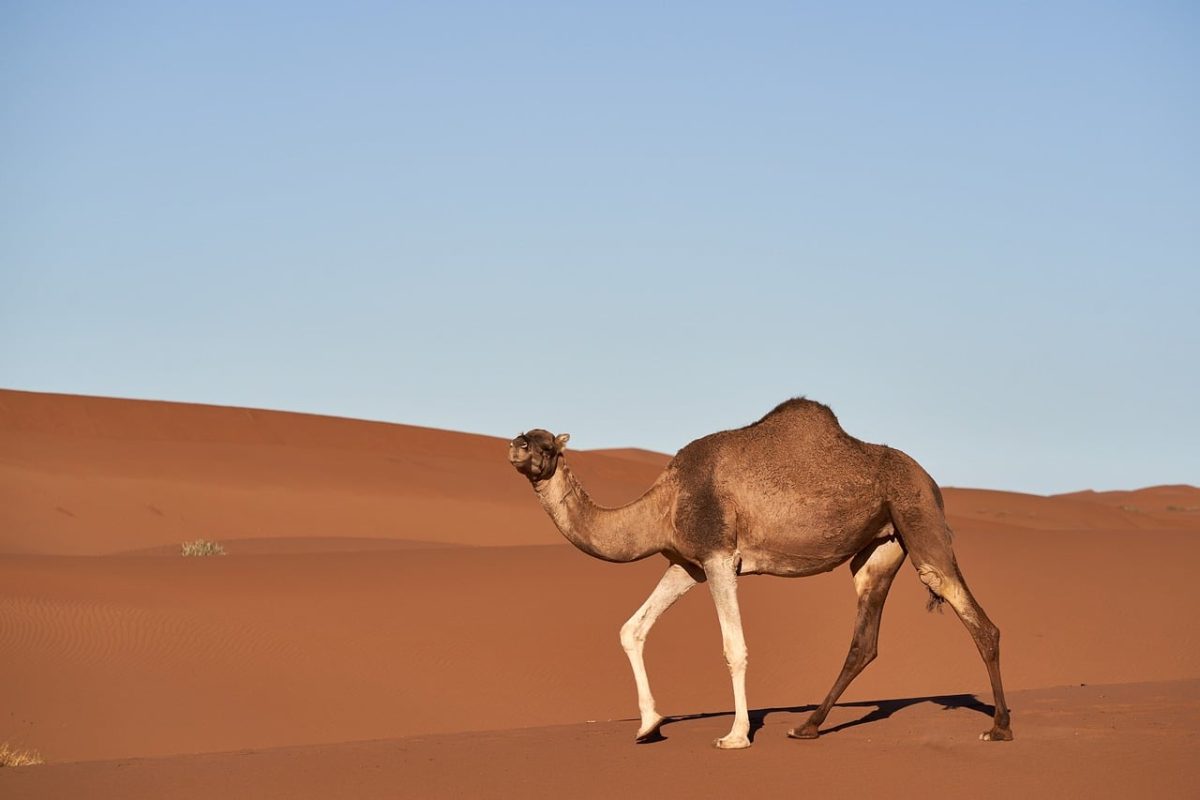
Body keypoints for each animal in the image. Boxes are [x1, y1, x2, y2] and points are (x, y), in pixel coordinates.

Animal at [508, 398, 1012, 749]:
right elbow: (632, 629)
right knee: (864, 641)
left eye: (547, 444)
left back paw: (1000, 727)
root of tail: (931, 480)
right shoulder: (687, 563)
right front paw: (650, 725)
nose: (516, 447)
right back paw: (806, 727)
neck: (663, 501)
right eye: (524, 435)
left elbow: (735, 649)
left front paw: (735, 735)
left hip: (919, 519)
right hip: (881, 548)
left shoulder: (718, 557)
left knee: (976, 618)